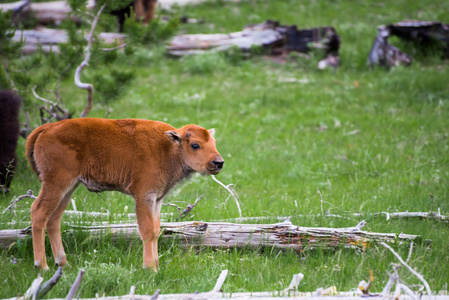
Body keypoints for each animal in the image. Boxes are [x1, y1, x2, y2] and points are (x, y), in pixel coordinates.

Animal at [25, 118, 222, 270]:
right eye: (195, 145)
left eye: (214, 144)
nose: (219, 162)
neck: (169, 147)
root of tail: (46, 129)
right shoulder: (144, 196)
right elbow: (147, 230)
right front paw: (150, 268)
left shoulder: (157, 199)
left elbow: (156, 230)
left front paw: (156, 265)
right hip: (56, 184)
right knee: (38, 212)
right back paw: (42, 266)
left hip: (69, 188)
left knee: (54, 218)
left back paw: (63, 263)